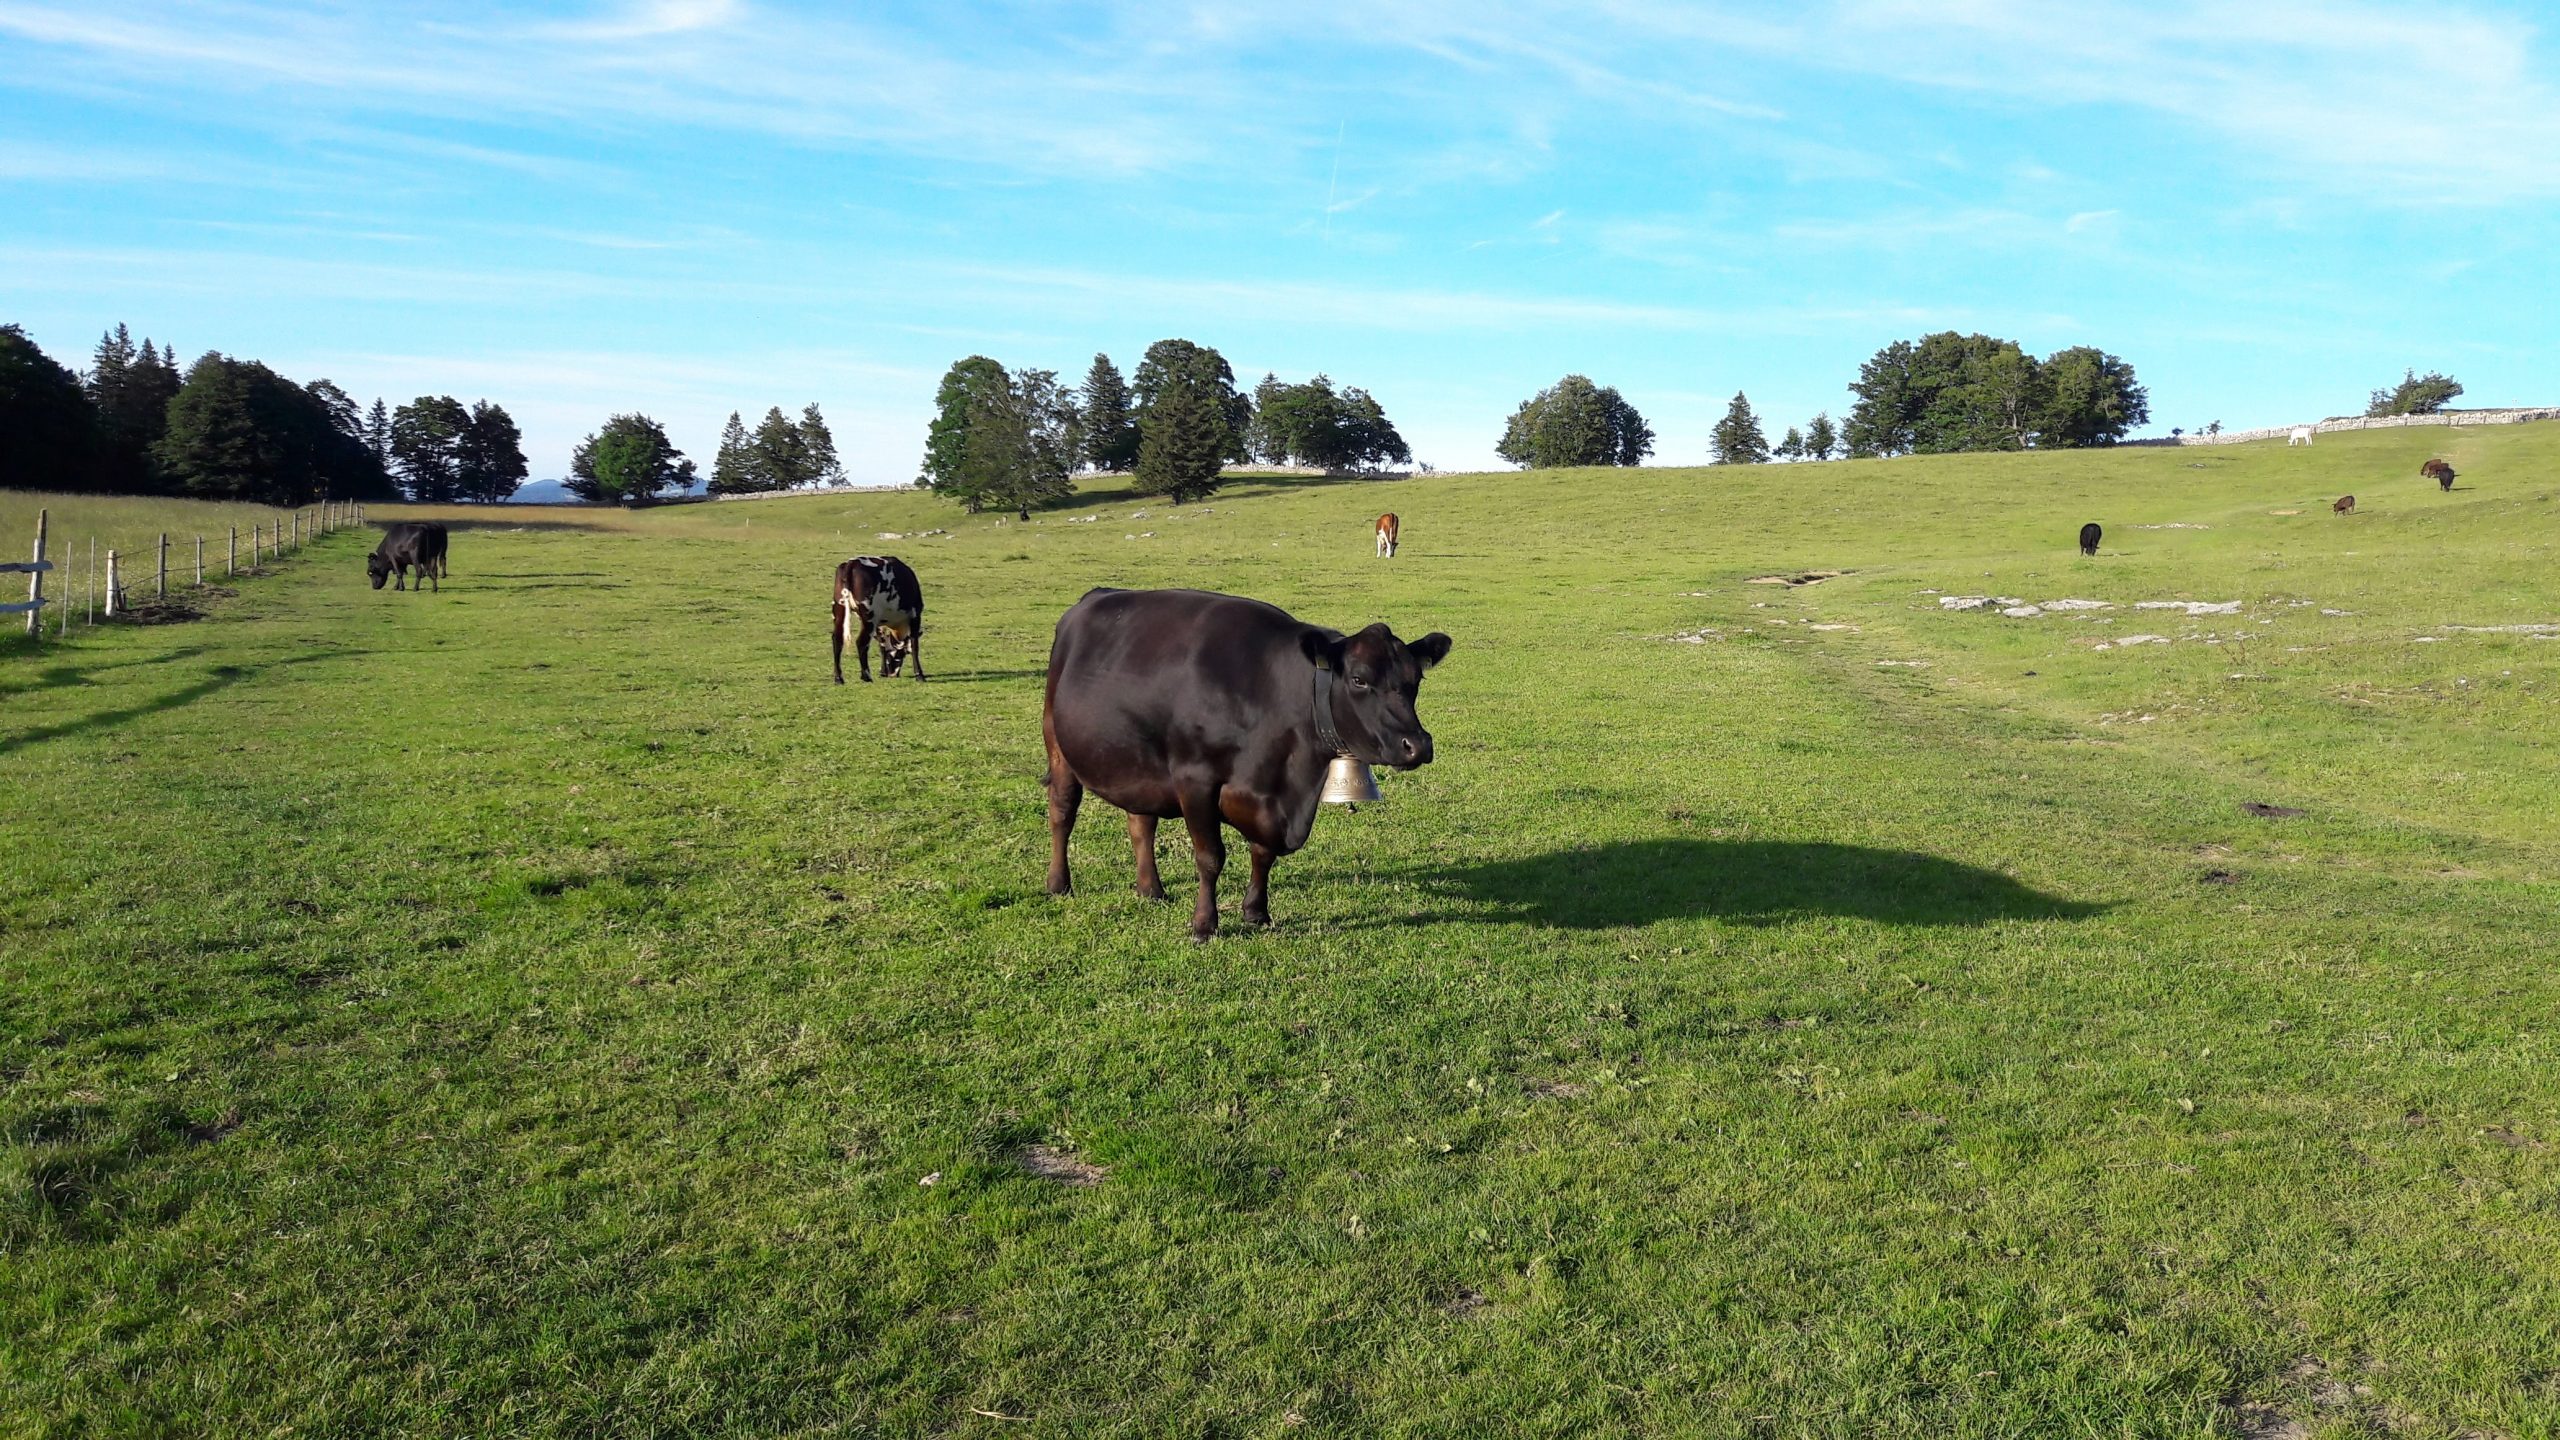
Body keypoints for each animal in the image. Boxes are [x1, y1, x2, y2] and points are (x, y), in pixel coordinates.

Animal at [834, 550, 926, 681]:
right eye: (901, 655)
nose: (892, 674)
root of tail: (851, 563)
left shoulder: (879, 623)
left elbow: (882, 645)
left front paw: (882, 672)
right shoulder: (915, 615)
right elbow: (914, 645)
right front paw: (919, 674)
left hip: (840, 610)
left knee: (837, 640)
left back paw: (838, 678)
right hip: (868, 617)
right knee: (861, 642)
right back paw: (866, 676)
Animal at [1034, 586, 1443, 942]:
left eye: (1416, 678)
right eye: (1359, 679)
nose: (1418, 746)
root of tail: (1093, 597)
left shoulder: (1270, 795)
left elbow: (1263, 853)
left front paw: (1256, 912)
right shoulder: (1195, 779)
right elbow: (1210, 856)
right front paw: (1204, 925)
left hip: (1138, 764)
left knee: (1141, 823)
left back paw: (1151, 889)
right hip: (1058, 745)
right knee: (1062, 812)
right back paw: (1058, 884)